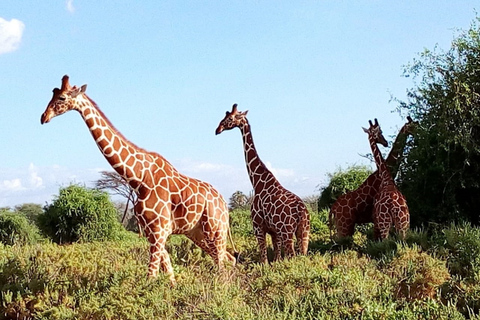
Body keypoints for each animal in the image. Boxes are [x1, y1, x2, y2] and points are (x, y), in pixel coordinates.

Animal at [40, 75, 237, 284]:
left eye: (62, 98)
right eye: (53, 94)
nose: (44, 117)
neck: (138, 178)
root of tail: (224, 203)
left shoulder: (158, 231)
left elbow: (151, 275)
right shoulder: (152, 232)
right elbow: (168, 273)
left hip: (215, 229)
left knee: (222, 261)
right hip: (197, 232)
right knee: (227, 258)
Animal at [215, 104, 312, 264]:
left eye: (230, 118)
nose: (218, 129)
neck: (257, 182)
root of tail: (301, 211)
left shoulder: (258, 226)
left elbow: (264, 258)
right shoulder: (274, 231)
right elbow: (277, 256)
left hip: (287, 231)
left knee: (292, 255)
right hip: (304, 231)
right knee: (302, 256)